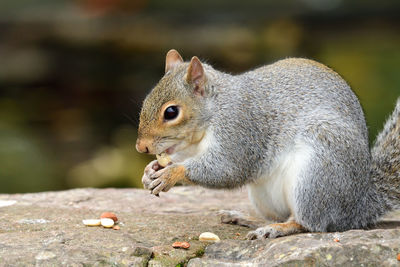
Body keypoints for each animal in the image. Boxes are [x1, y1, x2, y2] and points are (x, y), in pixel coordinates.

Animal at [135, 49, 400, 240]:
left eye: (171, 112)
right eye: (146, 101)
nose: (141, 147)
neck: (215, 109)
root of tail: (357, 205)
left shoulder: (240, 129)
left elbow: (228, 169)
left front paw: (171, 173)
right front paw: (150, 171)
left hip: (317, 176)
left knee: (311, 224)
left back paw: (277, 229)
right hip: (265, 196)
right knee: (281, 215)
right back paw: (250, 219)